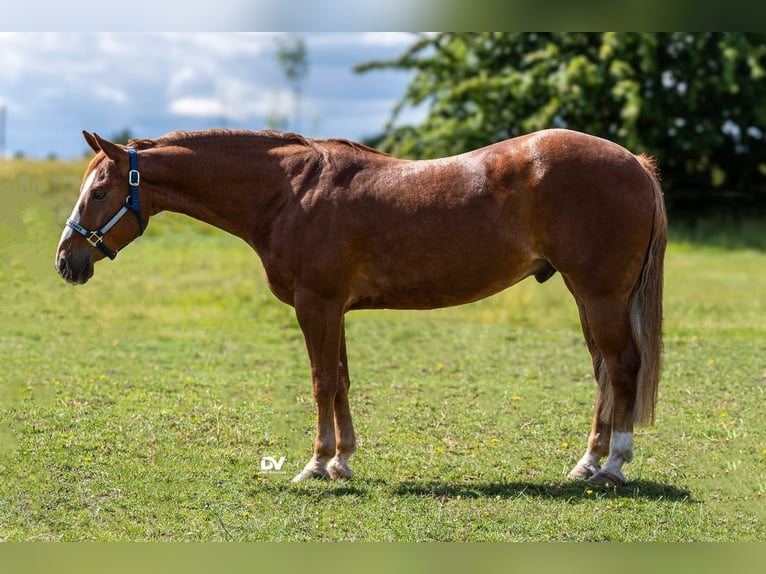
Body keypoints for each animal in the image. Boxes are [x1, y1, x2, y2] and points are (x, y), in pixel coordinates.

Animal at [55, 128, 666, 485]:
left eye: (100, 192)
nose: (66, 260)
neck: (289, 191)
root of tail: (634, 161)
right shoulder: (336, 310)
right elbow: (342, 381)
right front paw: (343, 459)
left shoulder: (316, 305)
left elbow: (321, 382)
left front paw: (316, 463)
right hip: (586, 297)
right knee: (603, 373)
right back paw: (587, 463)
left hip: (600, 296)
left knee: (621, 368)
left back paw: (614, 465)